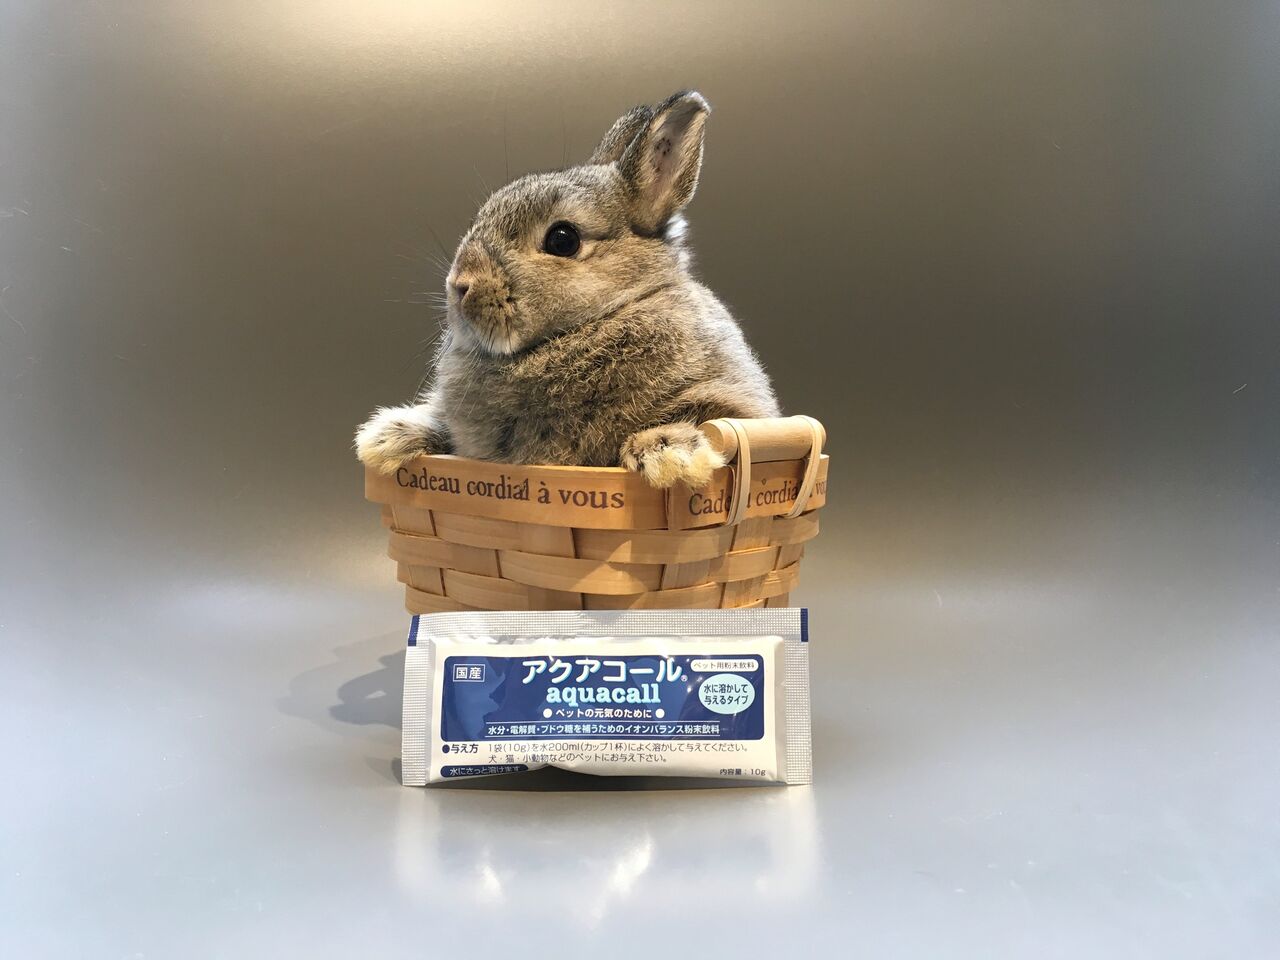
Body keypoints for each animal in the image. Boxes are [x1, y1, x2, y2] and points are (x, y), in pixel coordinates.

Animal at [356, 90, 779, 489]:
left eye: (563, 240)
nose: (460, 286)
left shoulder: (738, 404)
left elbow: (709, 418)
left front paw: (669, 456)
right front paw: (384, 440)